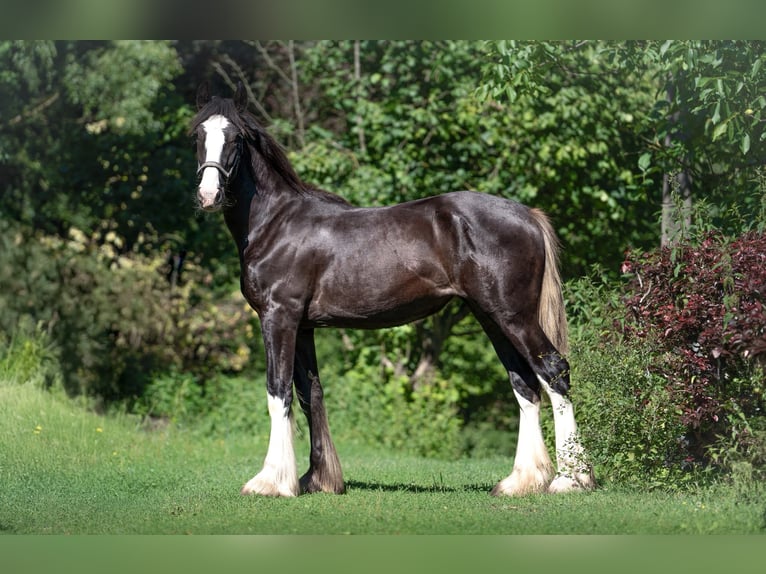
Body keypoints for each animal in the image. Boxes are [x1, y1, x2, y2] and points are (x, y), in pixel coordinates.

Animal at [190, 82, 595, 497]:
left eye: (236, 138)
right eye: (198, 136)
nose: (208, 196)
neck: (276, 224)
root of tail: (527, 214)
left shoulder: (278, 318)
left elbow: (278, 391)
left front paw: (270, 481)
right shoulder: (303, 327)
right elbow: (309, 393)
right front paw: (318, 479)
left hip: (514, 316)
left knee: (554, 371)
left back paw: (570, 479)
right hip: (491, 318)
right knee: (525, 384)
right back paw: (521, 480)